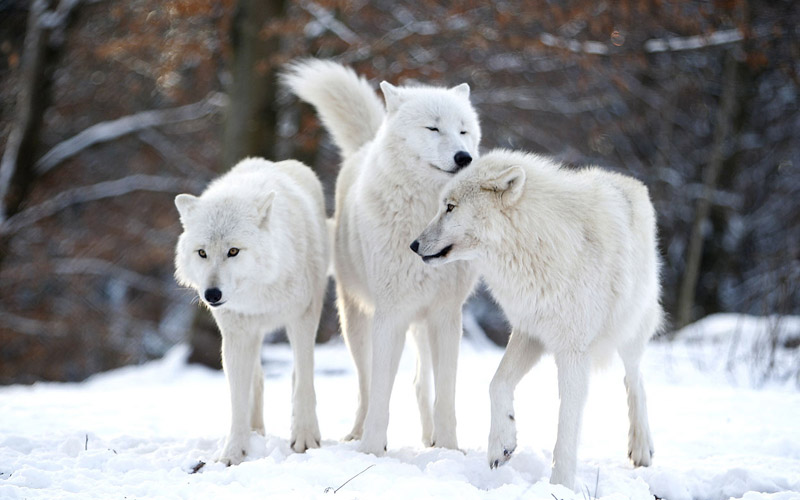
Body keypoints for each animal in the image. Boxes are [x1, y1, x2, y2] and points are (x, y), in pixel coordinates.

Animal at [173, 158, 326, 466]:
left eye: (233, 251)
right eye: (202, 253)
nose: (212, 295)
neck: (259, 294)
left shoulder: (302, 318)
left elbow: (304, 382)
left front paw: (305, 438)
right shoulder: (236, 335)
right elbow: (238, 400)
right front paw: (234, 452)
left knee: (296, 375)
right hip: (251, 337)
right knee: (258, 378)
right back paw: (256, 432)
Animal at [282, 58, 482, 454]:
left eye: (464, 131)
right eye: (433, 128)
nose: (464, 158)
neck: (424, 219)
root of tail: (366, 144)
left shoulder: (446, 316)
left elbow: (446, 396)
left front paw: (450, 450)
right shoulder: (391, 314)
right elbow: (379, 393)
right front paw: (372, 451)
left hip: (420, 325)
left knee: (420, 383)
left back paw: (430, 439)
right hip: (357, 321)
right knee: (365, 383)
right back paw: (357, 434)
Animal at [412, 148, 664, 488]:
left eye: (450, 207)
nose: (413, 245)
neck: (534, 244)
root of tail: (631, 182)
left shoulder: (573, 351)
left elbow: (567, 427)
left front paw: (561, 485)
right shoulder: (529, 332)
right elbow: (496, 384)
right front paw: (501, 444)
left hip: (630, 329)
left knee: (634, 379)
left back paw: (641, 448)